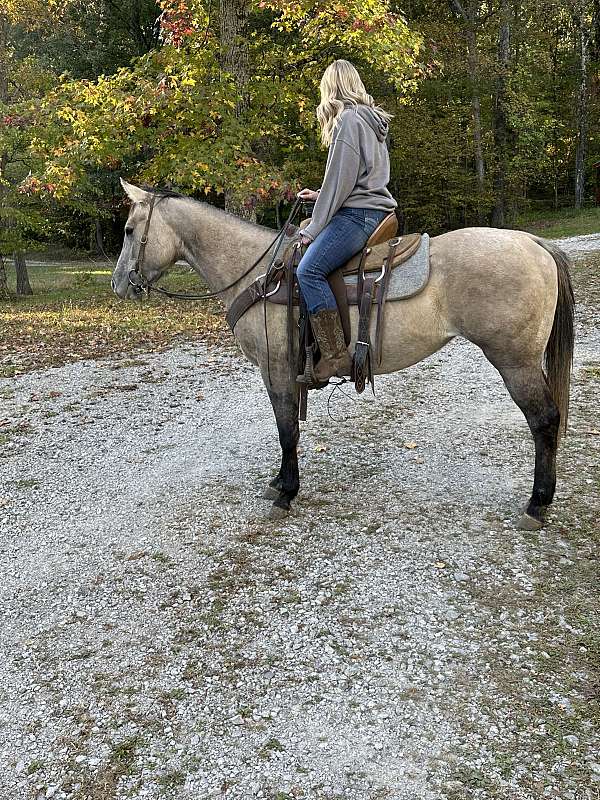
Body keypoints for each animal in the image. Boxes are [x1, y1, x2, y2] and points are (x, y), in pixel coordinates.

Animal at [110, 181, 576, 532]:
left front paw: (286, 492)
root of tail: (535, 243)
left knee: (544, 421)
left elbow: (286, 429)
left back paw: (537, 505)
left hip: (515, 362)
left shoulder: (277, 370)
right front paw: (280, 481)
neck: (258, 274)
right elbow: (288, 429)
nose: (119, 285)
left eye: (130, 230)